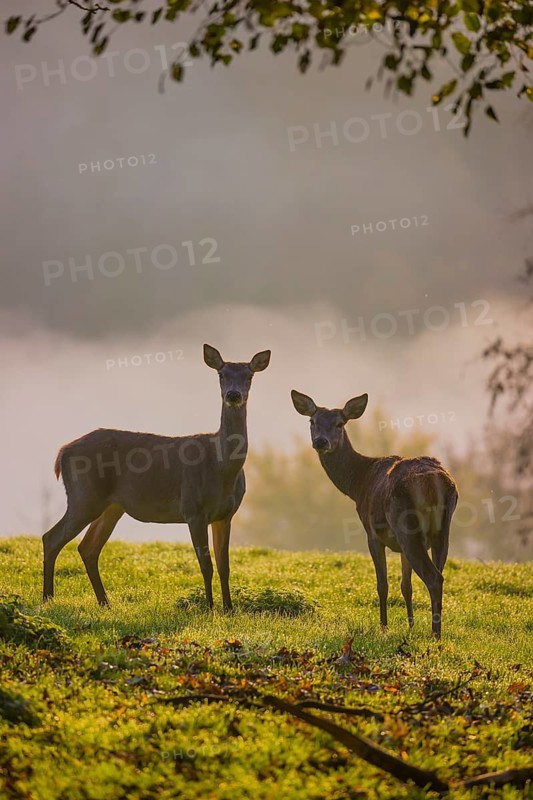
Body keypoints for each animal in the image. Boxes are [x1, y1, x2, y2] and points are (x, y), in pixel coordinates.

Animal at [42, 344, 271, 611]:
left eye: (249, 376)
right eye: (221, 374)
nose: (233, 395)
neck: (222, 468)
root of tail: (63, 452)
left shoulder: (226, 514)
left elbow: (225, 567)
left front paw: (229, 609)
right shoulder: (193, 508)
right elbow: (206, 566)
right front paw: (210, 608)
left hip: (111, 506)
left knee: (87, 547)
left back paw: (105, 603)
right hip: (84, 496)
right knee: (51, 538)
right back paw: (48, 598)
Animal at [291, 390, 458, 638]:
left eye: (340, 423)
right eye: (312, 421)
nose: (321, 441)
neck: (358, 483)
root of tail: (433, 481)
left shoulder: (372, 533)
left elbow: (383, 585)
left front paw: (384, 626)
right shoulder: (400, 546)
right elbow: (406, 586)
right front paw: (410, 625)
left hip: (406, 524)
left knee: (434, 577)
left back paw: (435, 635)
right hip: (442, 530)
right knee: (439, 572)